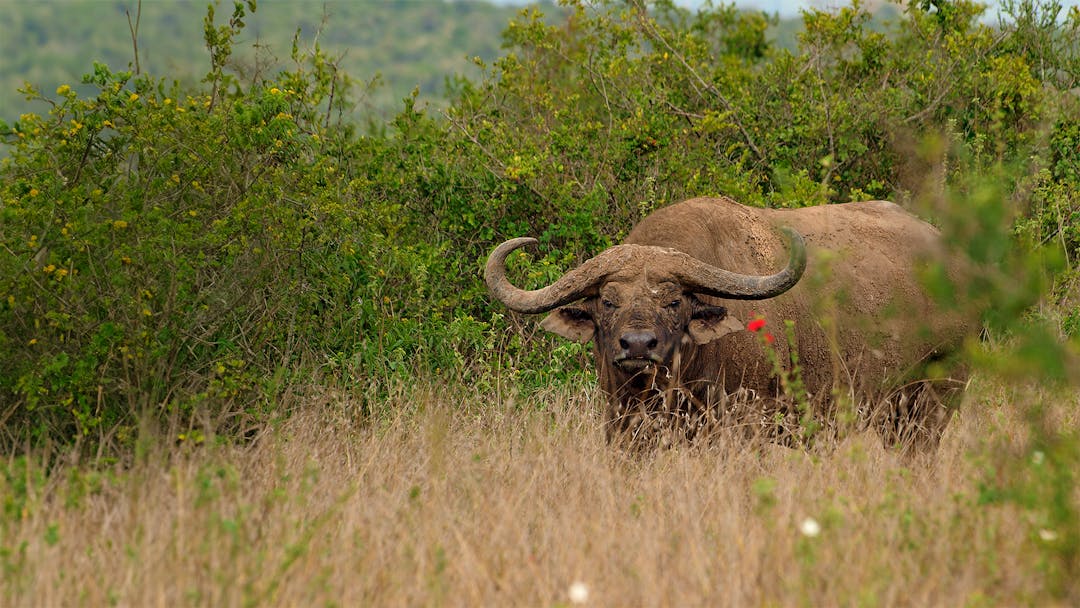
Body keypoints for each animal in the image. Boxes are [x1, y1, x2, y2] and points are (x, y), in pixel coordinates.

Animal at [486, 197, 976, 453]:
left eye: (675, 301)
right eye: (608, 301)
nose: (639, 345)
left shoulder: (744, 428)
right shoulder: (623, 427)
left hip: (935, 401)